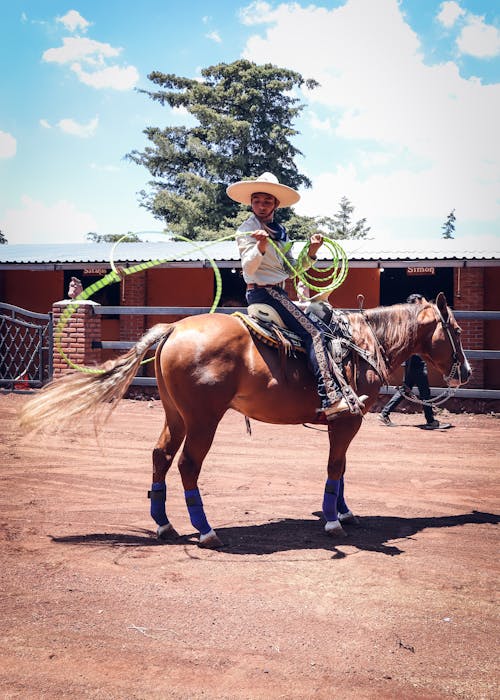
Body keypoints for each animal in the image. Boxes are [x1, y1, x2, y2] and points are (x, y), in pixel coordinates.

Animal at [19, 290, 470, 548]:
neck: (361, 343)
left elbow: (341, 469)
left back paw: (165, 525)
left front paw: (343, 512)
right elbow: (335, 467)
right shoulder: (347, 421)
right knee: (188, 465)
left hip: (175, 415)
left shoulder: (345, 424)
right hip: (203, 420)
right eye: (458, 331)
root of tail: (173, 330)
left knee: (160, 457)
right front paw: (332, 521)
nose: (465, 371)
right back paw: (206, 530)